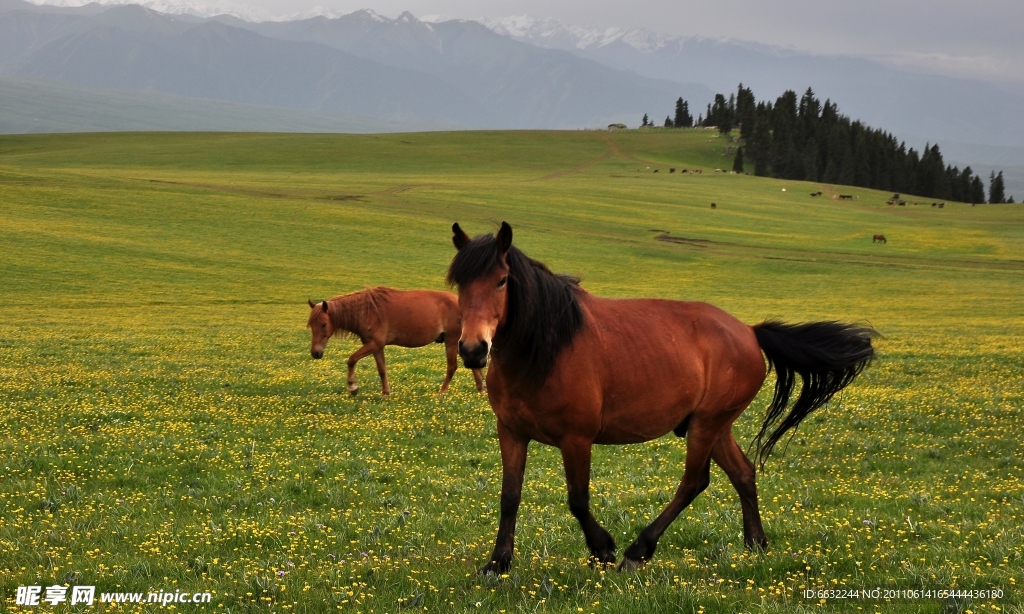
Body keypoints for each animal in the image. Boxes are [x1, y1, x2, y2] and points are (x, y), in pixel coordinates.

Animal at [303, 288, 483, 399]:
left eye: (323, 324)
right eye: (311, 325)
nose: (316, 353)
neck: (367, 311)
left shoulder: (374, 344)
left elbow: (351, 360)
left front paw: (353, 387)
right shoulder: (376, 347)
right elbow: (382, 369)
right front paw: (385, 392)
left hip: (451, 341)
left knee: (452, 367)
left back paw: (442, 392)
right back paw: (481, 389)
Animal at [444, 223, 876, 573]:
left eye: (502, 280)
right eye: (460, 284)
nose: (473, 350)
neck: (547, 349)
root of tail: (750, 332)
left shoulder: (577, 439)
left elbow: (578, 500)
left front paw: (603, 550)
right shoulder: (511, 433)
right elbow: (510, 496)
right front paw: (498, 563)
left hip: (706, 425)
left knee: (694, 482)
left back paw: (639, 550)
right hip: (716, 425)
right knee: (742, 473)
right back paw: (755, 543)